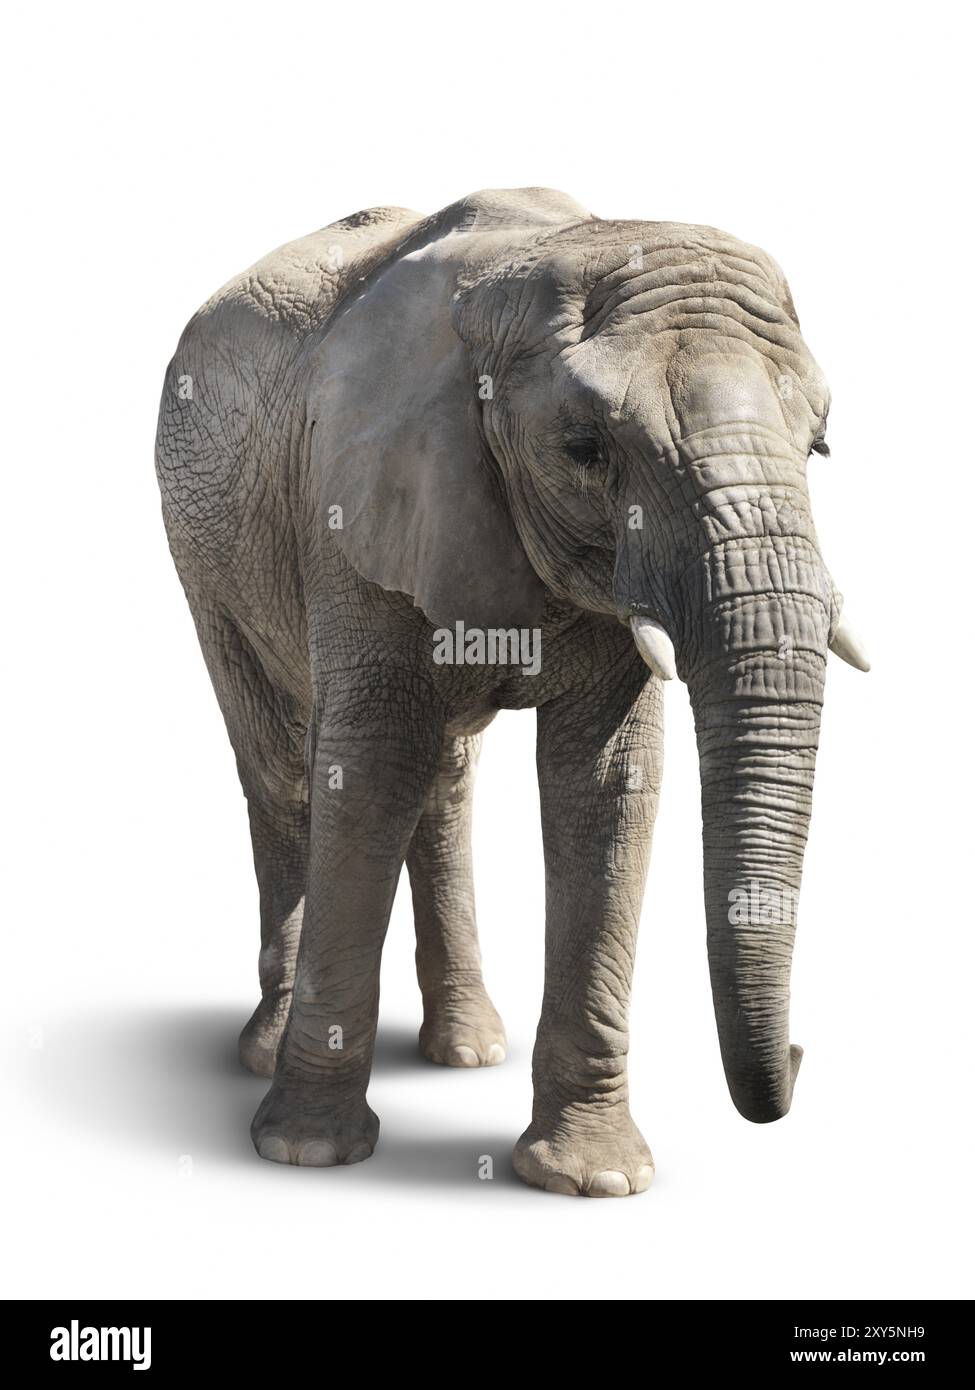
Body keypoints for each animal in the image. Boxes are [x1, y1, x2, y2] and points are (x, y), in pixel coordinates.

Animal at [155, 187, 868, 1197]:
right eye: (583, 449)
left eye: (818, 447)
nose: (799, 1061)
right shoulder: (353, 503)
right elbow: (365, 772)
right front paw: (305, 1153)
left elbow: (605, 788)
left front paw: (593, 1181)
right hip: (203, 549)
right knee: (282, 767)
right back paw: (265, 1051)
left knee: (442, 779)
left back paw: (463, 1051)